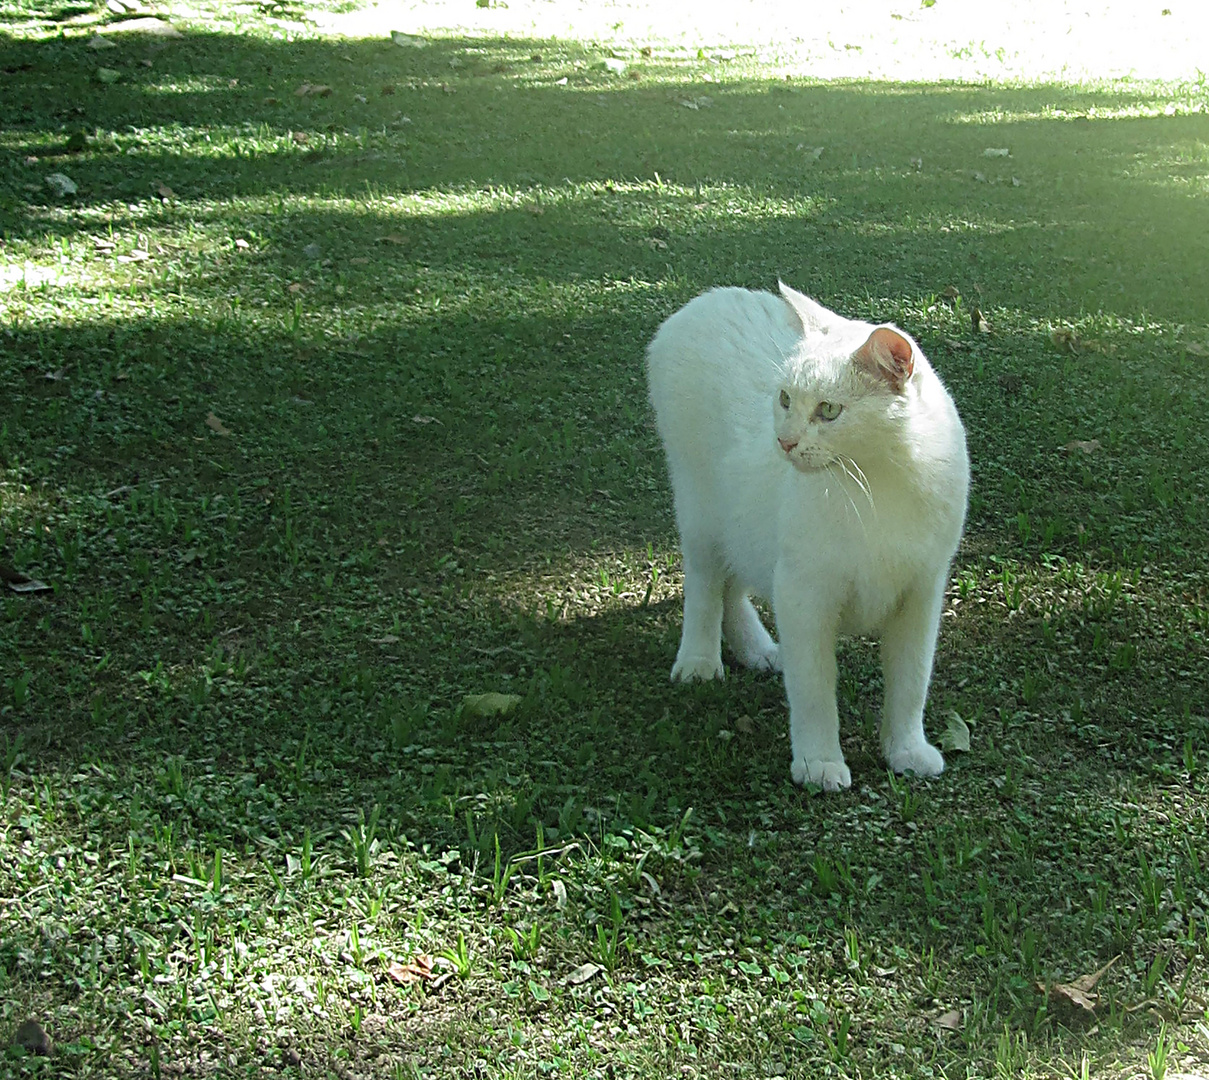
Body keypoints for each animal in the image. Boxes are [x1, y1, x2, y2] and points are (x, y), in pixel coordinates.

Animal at [648, 281, 967, 788]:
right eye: (784, 399)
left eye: (829, 410)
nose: (785, 442)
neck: (877, 482)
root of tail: (707, 297)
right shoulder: (804, 594)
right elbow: (814, 690)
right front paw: (820, 762)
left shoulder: (921, 595)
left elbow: (911, 682)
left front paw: (907, 750)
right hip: (701, 511)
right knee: (705, 585)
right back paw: (699, 661)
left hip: (744, 522)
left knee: (731, 585)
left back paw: (757, 651)